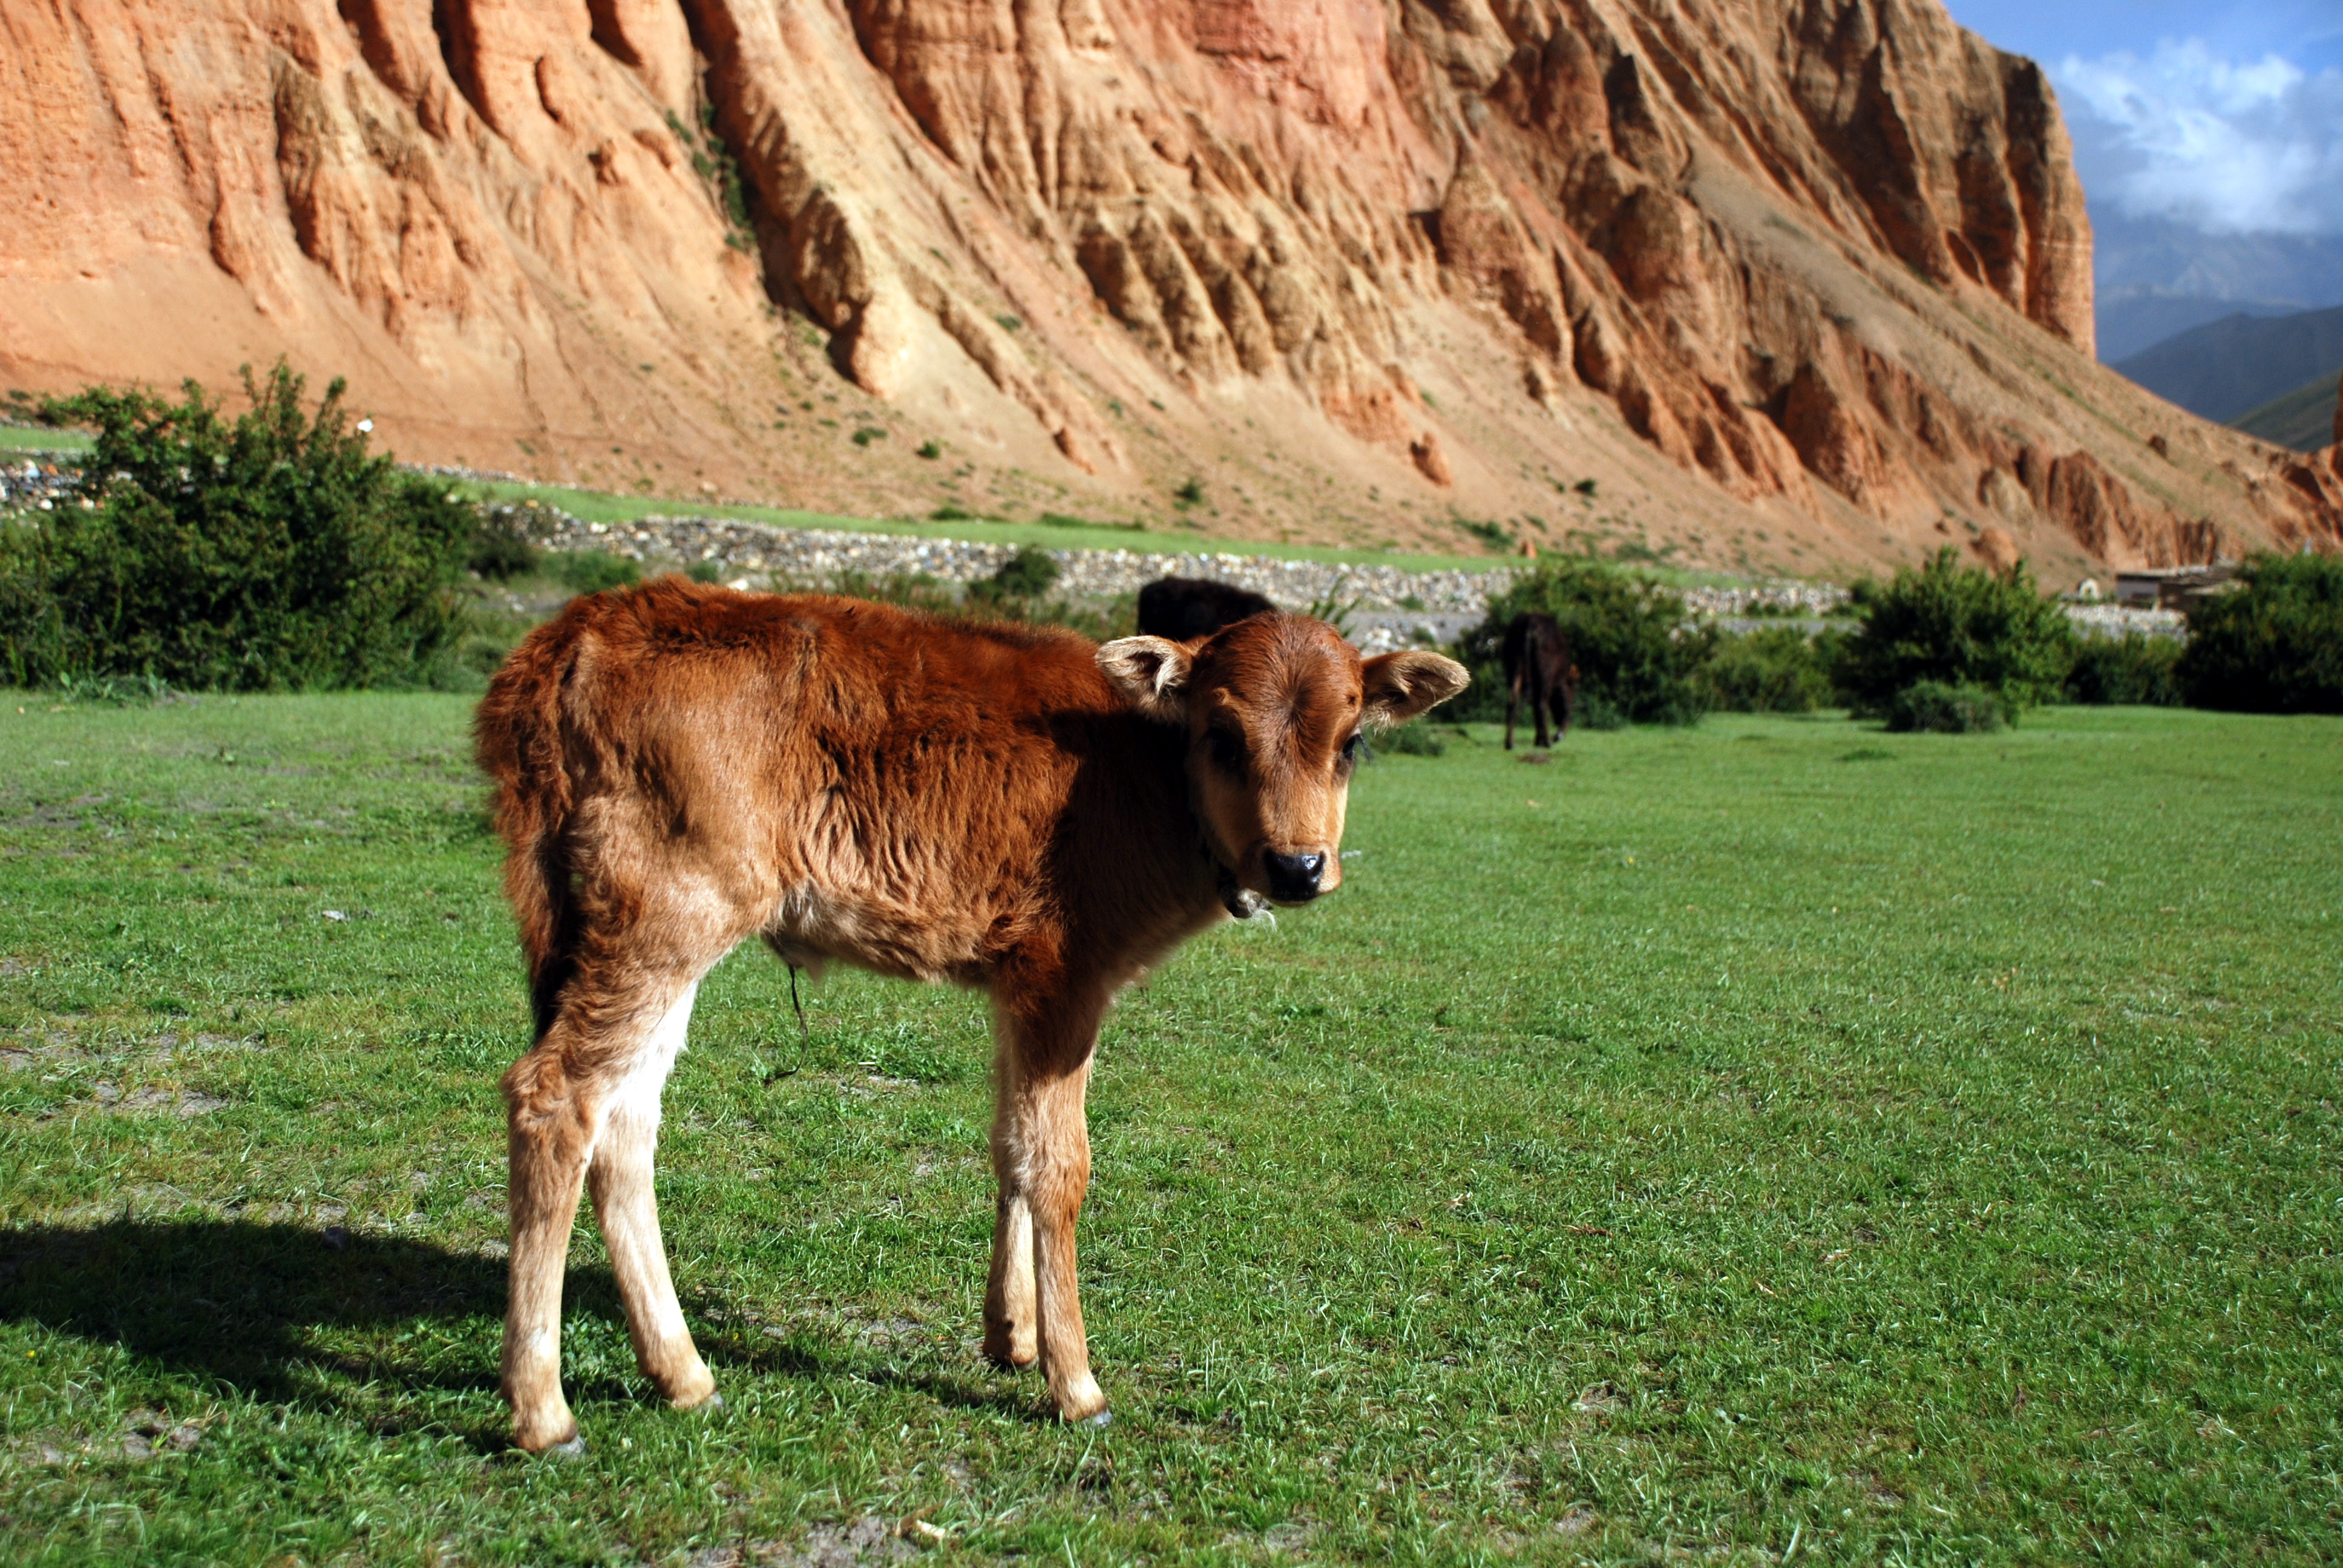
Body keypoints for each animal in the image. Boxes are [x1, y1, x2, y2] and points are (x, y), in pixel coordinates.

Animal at [1499, 609, 1574, 750]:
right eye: (1571, 703)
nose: (1559, 736)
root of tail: (1530, 622)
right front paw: (1540, 740)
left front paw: (1537, 740)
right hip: (1544, 674)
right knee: (1541, 705)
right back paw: (1547, 742)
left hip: (1514, 667)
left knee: (1512, 701)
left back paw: (1509, 743)